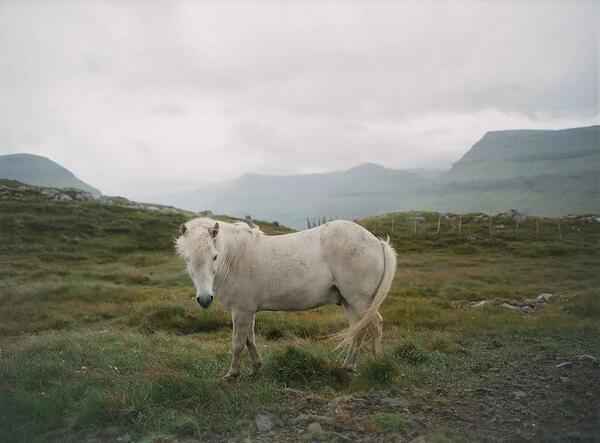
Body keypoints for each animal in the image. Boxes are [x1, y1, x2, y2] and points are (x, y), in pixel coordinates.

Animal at [176, 217, 396, 380]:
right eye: (187, 259)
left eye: (214, 256)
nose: (205, 299)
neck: (235, 258)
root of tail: (377, 242)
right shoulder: (247, 311)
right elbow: (249, 339)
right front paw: (256, 368)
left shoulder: (241, 311)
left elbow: (238, 343)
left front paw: (232, 374)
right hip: (349, 302)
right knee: (357, 331)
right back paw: (348, 366)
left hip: (360, 301)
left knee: (375, 326)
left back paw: (379, 364)